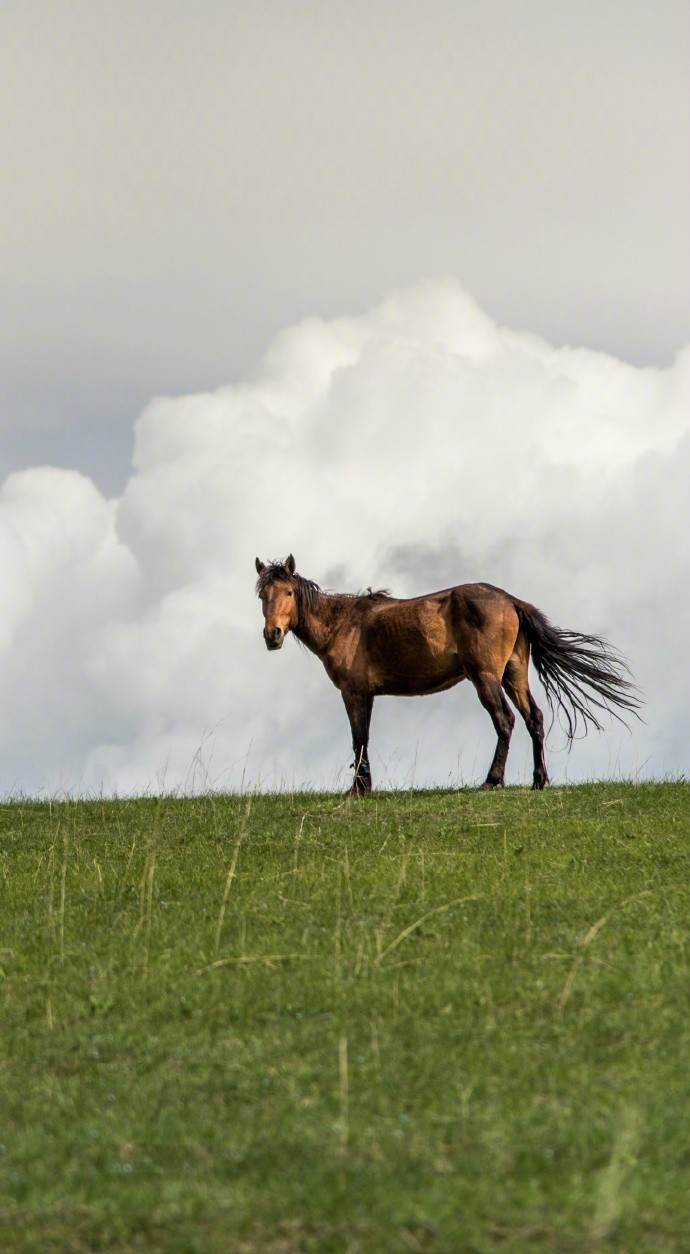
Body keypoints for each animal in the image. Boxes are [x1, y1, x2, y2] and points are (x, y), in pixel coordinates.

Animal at [255, 556, 642, 792]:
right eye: (262, 595)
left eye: (288, 592)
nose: (272, 634)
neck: (344, 624)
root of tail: (510, 600)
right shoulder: (365, 696)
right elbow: (362, 740)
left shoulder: (354, 693)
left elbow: (359, 739)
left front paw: (358, 790)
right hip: (514, 675)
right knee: (534, 718)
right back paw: (539, 780)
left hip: (485, 677)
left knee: (505, 721)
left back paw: (492, 780)